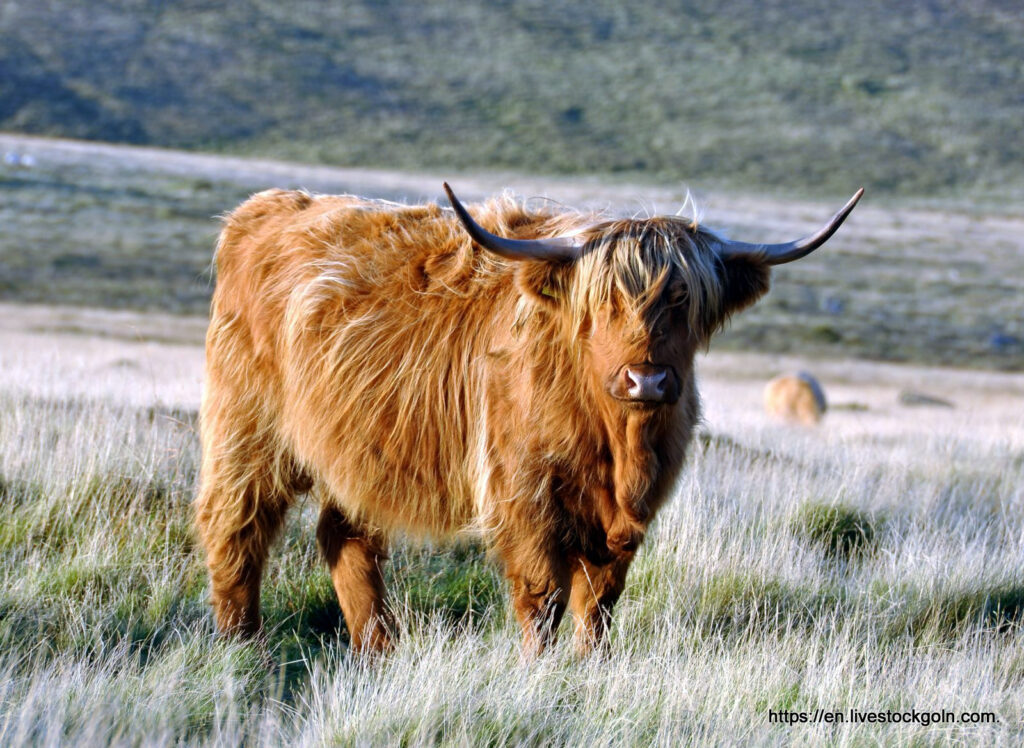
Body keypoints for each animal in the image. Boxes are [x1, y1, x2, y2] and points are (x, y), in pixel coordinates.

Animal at [195, 183, 862, 655]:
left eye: (681, 298)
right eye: (605, 301)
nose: (646, 380)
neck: (618, 446)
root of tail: (263, 208)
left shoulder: (627, 516)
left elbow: (600, 600)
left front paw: (592, 668)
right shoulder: (524, 494)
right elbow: (544, 597)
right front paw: (537, 670)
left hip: (355, 447)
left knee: (347, 539)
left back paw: (379, 649)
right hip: (247, 429)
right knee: (235, 527)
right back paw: (241, 645)